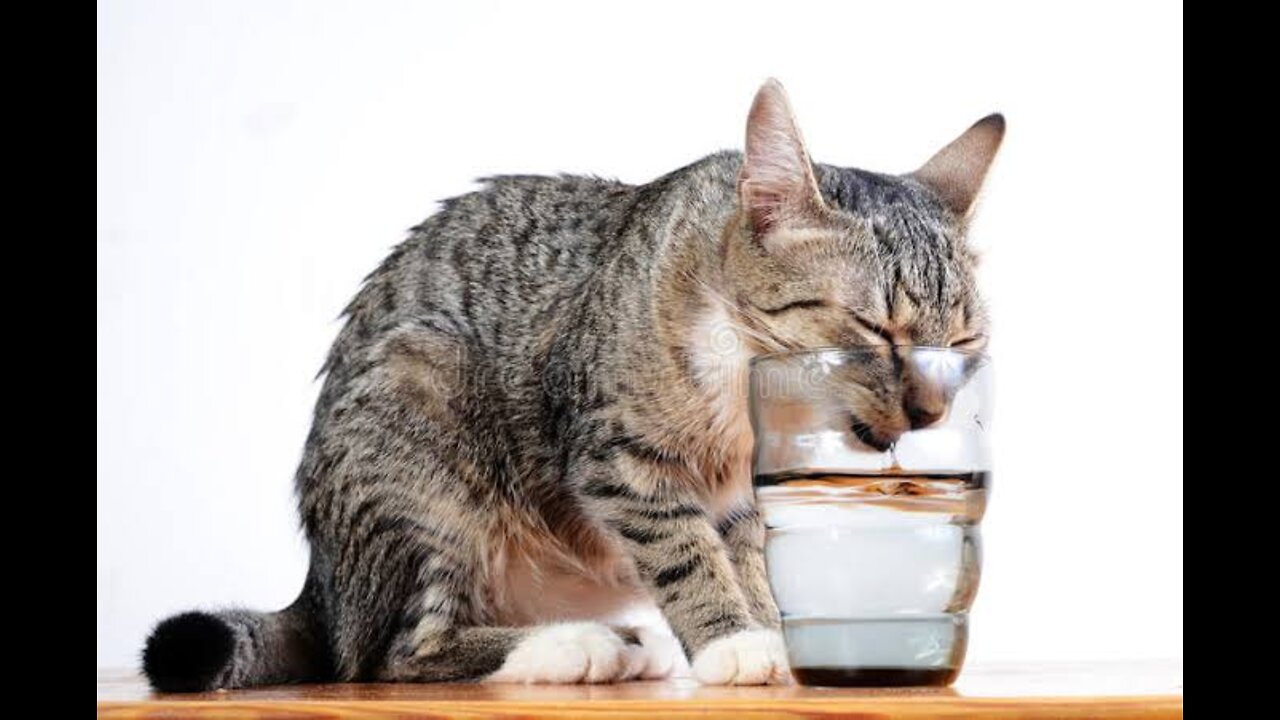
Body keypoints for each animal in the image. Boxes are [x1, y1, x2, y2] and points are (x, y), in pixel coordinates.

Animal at [140, 78, 998, 691]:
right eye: (875, 329)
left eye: (963, 343)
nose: (932, 409)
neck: (738, 400)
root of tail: (321, 585)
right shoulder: (617, 455)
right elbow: (684, 548)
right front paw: (734, 641)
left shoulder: (747, 496)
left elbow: (752, 553)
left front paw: (769, 631)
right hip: (418, 407)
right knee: (391, 653)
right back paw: (572, 646)